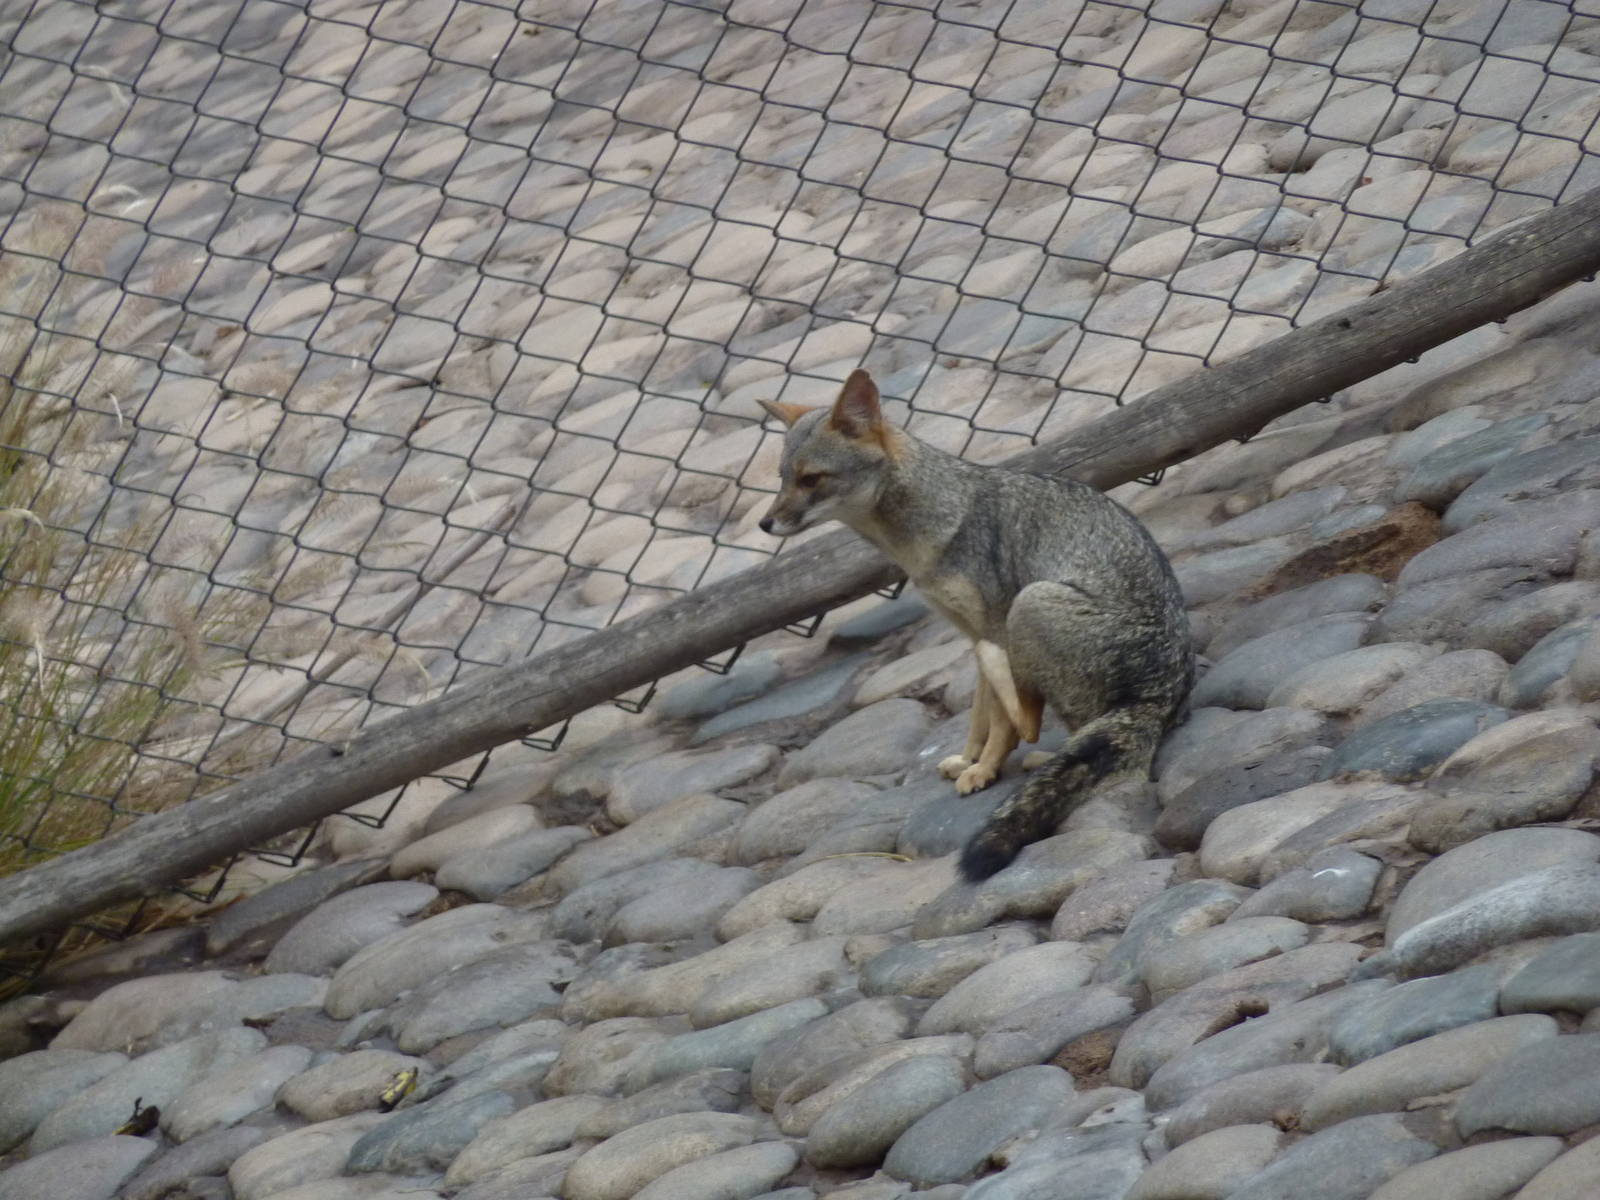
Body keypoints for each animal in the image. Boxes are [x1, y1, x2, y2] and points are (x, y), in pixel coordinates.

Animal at [758, 369, 1193, 881]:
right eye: (782, 478)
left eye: (812, 479)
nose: (765, 523)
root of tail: (1162, 697)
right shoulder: (971, 631)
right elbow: (980, 713)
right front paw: (971, 759)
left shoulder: (993, 628)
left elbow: (1002, 721)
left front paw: (984, 771)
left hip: (1029, 605)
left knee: (1062, 732)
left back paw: (1046, 754)